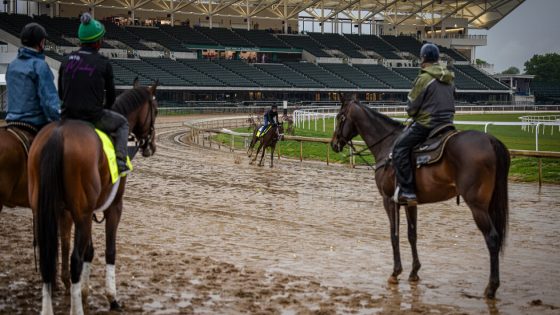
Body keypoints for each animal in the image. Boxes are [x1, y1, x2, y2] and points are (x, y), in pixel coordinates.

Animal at [29, 80, 159, 314]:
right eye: (156, 109)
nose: (151, 146)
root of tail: (58, 134)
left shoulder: (85, 212)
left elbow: (89, 251)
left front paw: (84, 292)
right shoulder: (113, 206)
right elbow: (109, 250)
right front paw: (112, 298)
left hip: (46, 209)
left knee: (47, 258)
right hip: (80, 213)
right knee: (74, 260)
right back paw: (77, 310)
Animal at [330, 95, 510, 300]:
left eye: (339, 117)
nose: (334, 143)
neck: (388, 146)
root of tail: (490, 140)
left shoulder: (388, 200)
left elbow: (394, 235)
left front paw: (396, 272)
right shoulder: (410, 202)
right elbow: (412, 235)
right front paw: (414, 272)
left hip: (477, 206)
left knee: (492, 238)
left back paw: (491, 288)